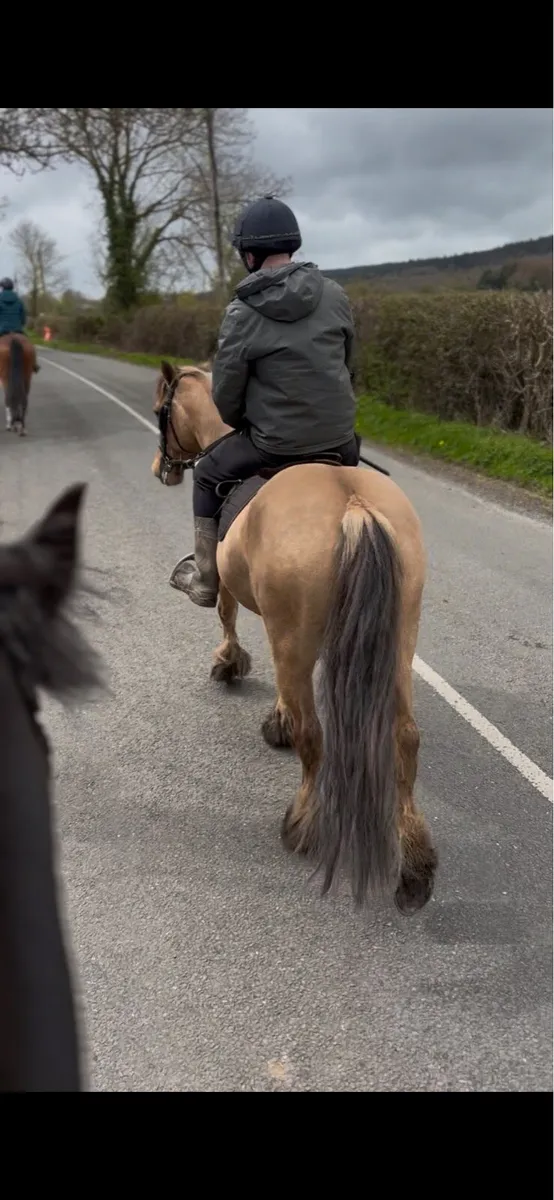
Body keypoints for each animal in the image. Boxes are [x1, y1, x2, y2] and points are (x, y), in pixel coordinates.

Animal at [151, 363, 438, 915]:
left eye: (161, 409)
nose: (163, 468)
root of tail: (354, 505)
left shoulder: (243, 595)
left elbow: (225, 614)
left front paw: (230, 667)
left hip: (296, 635)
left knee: (314, 736)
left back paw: (302, 825)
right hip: (399, 639)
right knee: (405, 739)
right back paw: (415, 868)